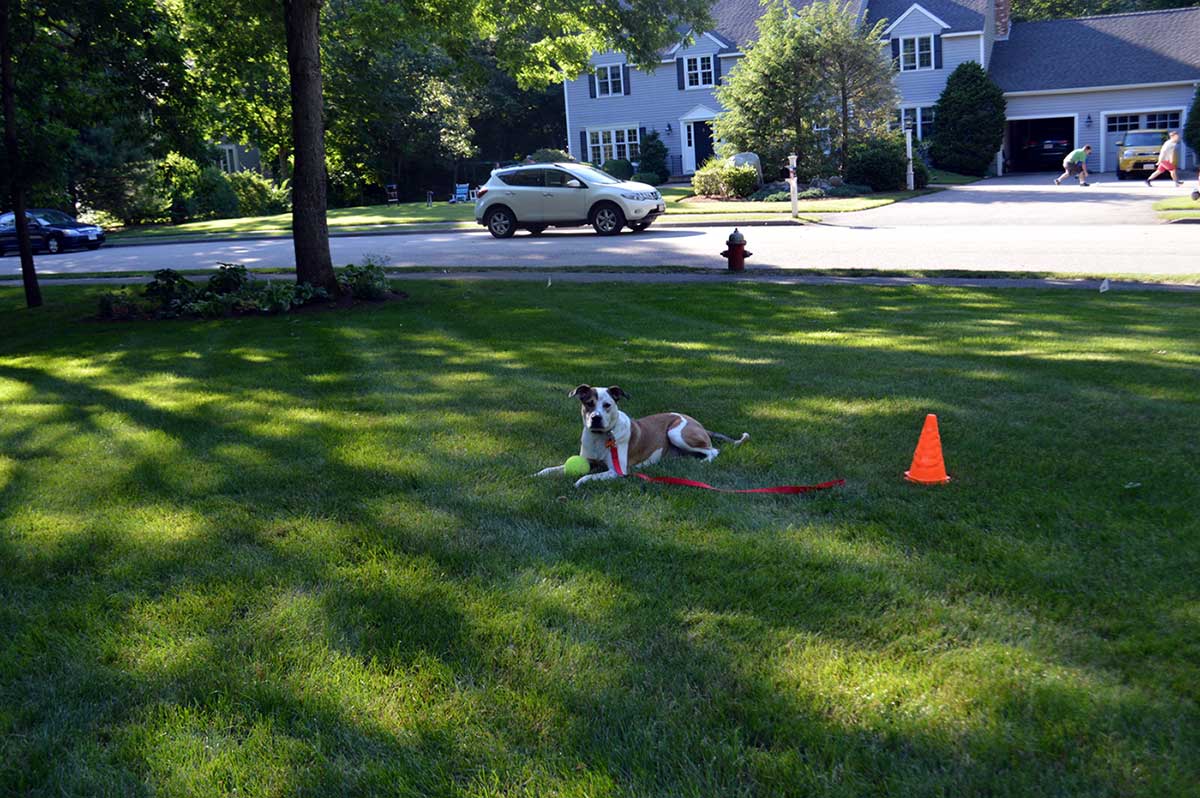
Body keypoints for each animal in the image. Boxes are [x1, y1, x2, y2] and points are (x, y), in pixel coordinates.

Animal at [537, 381, 744, 484]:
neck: (600, 436)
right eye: (589, 403)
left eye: (607, 405)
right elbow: (553, 468)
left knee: (713, 450)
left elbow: (589, 476)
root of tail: (697, 422)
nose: (596, 418)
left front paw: (579, 481)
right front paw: (537, 474)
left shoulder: (616, 471)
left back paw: (704, 462)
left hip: (676, 433)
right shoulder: (588, 459)